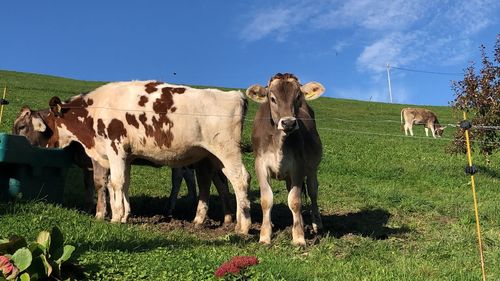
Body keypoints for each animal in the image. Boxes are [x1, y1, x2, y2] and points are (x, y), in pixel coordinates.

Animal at [16, 81, 250, 232]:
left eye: (22, 126)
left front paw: (115, 217)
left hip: (226, 151)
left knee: (240, 179)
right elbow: (122, 183)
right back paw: (217, 220)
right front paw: (125, 214)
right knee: (216, 182)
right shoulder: (124, 156)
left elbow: (115, 183)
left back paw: (243, 227)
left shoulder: (115, 149)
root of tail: (234, 95)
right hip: (210, 157)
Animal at [246, 72, 324, 245]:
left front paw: (299, 237)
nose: (288, 123)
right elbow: (266, 200)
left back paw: (316, 224)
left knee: (313, 191)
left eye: (298, 96)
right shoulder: (260, 164)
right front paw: (265, 235)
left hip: (312, 167)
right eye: (272, 98)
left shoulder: (298, 166)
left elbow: (295, 201)